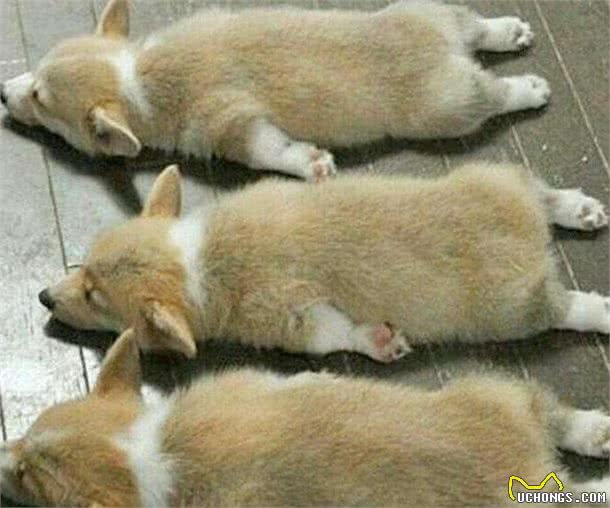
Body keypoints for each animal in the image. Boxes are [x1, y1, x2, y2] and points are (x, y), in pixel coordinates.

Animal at [1, 0, 551, 181]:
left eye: (41, 100)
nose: (4, 92)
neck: (137, 75)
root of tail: (448, 51)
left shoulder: (234, 125)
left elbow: (270, 150)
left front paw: (312, 165)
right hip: (430, 11)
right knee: (475, 26)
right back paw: (510, 32)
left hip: (447, 108)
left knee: (494, 94)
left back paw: (531, 86)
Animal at [1, 329, 609, 507]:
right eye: (27, 434)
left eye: (29, 477)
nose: (3, 454)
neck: (148, 450)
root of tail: (536, 468)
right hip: (494, 390)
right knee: (553, 412)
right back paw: (598, 433)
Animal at [38, 162, 609, 361]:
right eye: (82, 267)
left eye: (93, 297)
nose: (43, 297)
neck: (197, 258)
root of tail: (533, 238)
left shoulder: (292, 319)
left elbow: (332, 336)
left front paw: (380, 341)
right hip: (494, 177)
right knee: (538, 191)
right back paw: (577, 209)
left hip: (514, 309)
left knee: (565, 308)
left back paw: (598, 311)